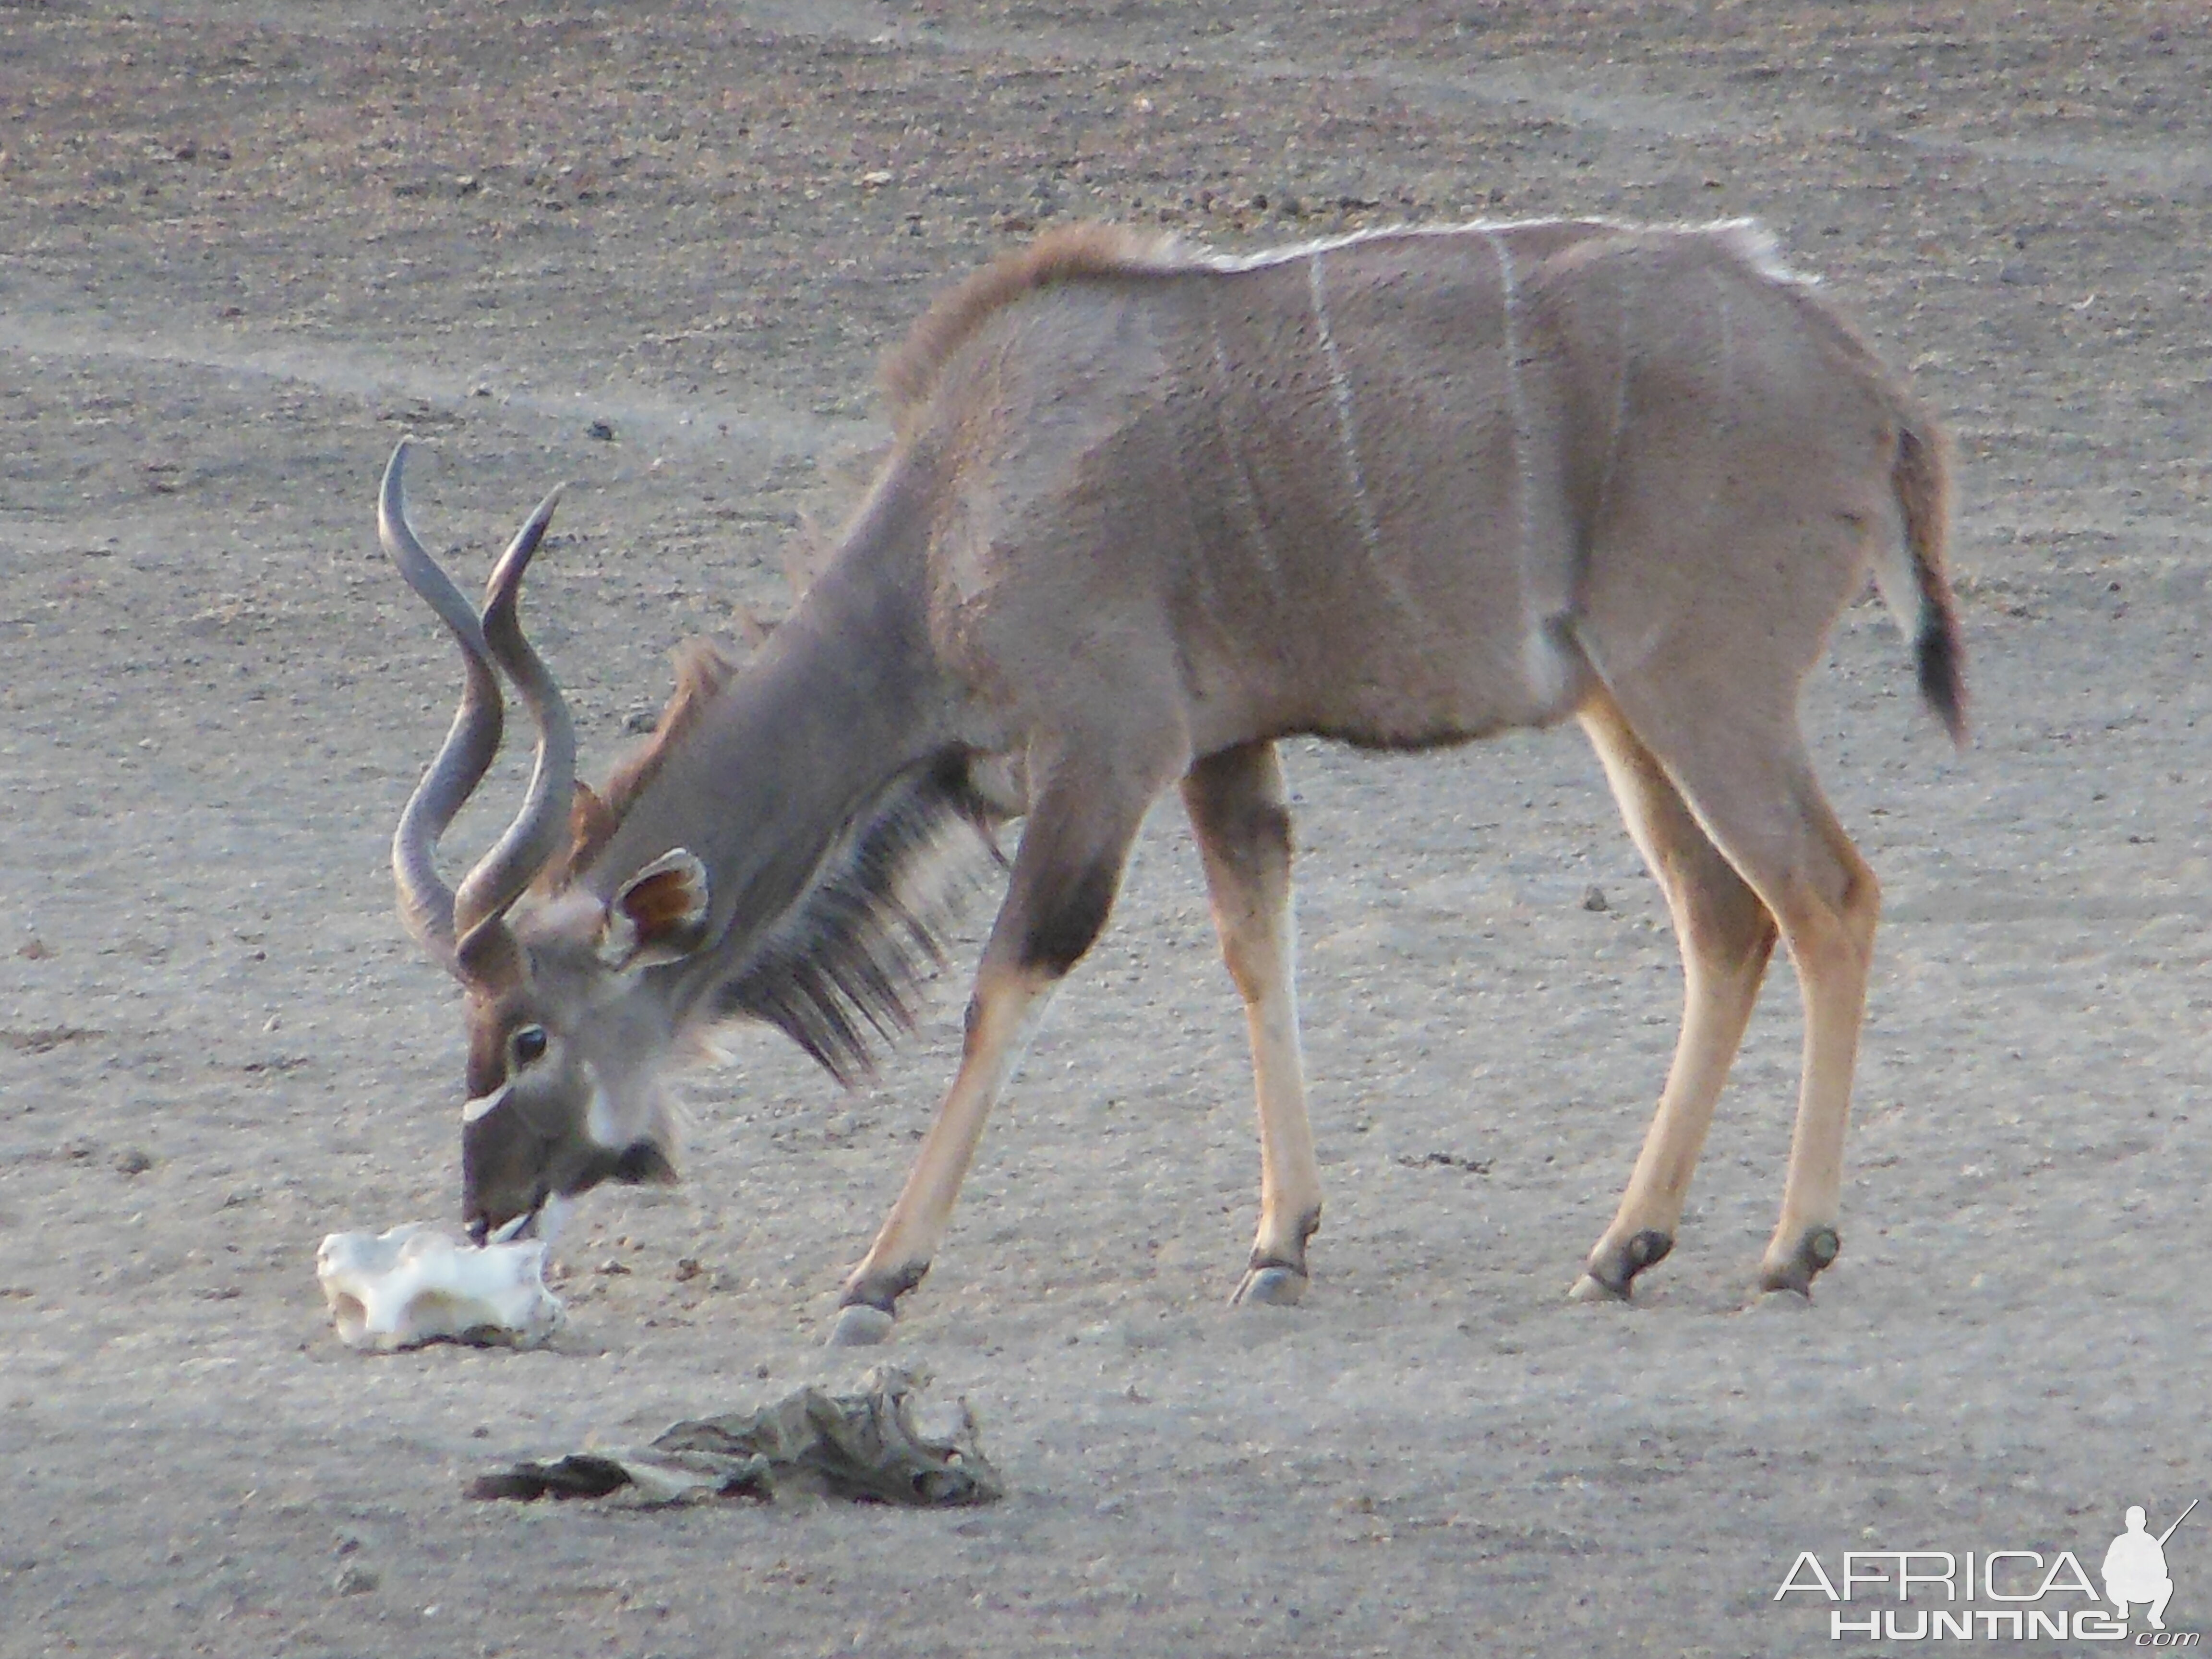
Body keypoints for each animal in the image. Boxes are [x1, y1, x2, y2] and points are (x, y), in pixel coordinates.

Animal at [389, 217, 1964, 1354]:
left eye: (527, 1035)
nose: (486, 1206)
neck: (957, 511)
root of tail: (1869, 386)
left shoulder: (1110, 751)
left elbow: (1012, 979)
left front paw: (879, 1276)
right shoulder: (1222, 753)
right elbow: (1254, 946)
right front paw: (1279, 1246)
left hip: (1705, 690)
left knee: (1828, 895)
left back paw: (1790, 1250)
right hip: (1625, 712)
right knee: (1725, 918)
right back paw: (1624, 1246)